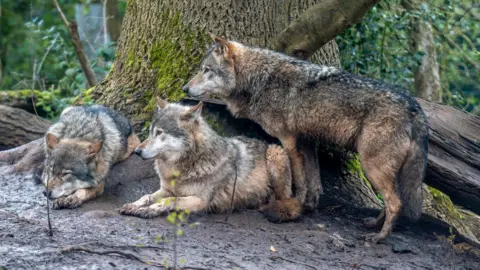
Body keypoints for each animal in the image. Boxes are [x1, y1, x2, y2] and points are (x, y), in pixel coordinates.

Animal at [119, 97, 300, 221]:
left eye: (159, 133)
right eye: (150, 132)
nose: (136, 151)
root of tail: (265, 142)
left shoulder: (200, 201)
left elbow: (170, 200)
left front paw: (150, 209)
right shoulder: (166, 190)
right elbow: (147, 196)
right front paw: (134, 205)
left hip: (275, 153)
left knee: (283, 200)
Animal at [183, 33, 428, 243]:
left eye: (207, 70)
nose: (185, 88)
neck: (260, 80)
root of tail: (414, 106)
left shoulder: (289, 140)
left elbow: (300, 179)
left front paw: (296, 205)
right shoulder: (308, 141)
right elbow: (314, 178)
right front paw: (310, 205)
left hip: (370, 165)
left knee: (395, 202)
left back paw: (380, 237)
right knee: (392, 200)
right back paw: (374, 225)